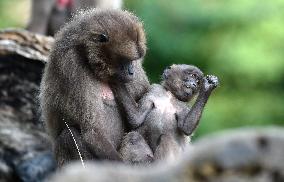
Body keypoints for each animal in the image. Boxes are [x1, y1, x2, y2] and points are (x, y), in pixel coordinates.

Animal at [40, 8, 151, 168]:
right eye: (125, 60)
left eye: (133, 61)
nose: (131, 71)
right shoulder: (70, 64)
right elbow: (93, 131)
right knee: (68, 136)